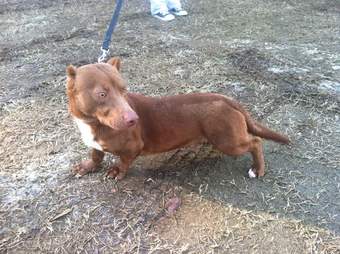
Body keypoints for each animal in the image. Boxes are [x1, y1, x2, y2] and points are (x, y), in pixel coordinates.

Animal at [65, 57, 290, 181]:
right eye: (101, 94)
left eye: (124, 89)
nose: (133, 119)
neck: (93, 124)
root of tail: (228, 99)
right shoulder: (94, 144)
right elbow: (96, 155)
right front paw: (87, 166)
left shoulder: (133, 147)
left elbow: (123, 161)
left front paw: (116, 171)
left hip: (229, 141)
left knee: (256, 142)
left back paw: (257, 169)